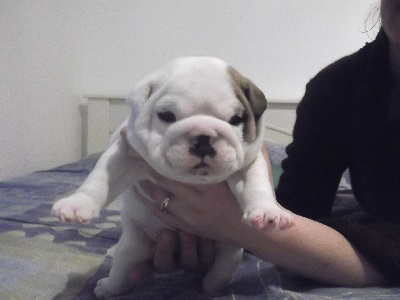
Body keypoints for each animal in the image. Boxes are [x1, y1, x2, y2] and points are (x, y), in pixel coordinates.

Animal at [51, 56, 292, 298]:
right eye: (167, 116)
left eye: (236, 119)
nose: (203, 138)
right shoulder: (125, 152)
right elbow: (102, 177)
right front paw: (78, 204)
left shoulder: (247, 163)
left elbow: (256, 184)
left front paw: (268, 211)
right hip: (132, 247)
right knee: (121, 272)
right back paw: (107, 288)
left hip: (229, 249)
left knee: (221, 272)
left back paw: (209, 287)